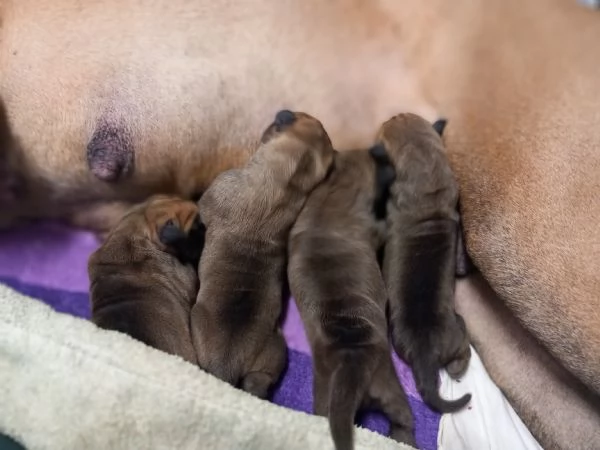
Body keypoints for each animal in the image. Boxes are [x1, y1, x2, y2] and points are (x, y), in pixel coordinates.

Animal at [288, 150, 414, 450]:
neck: (333, 191)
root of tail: (350, 365)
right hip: (389, 385)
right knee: (404, 419)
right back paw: (403, 438)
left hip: (325, 395)